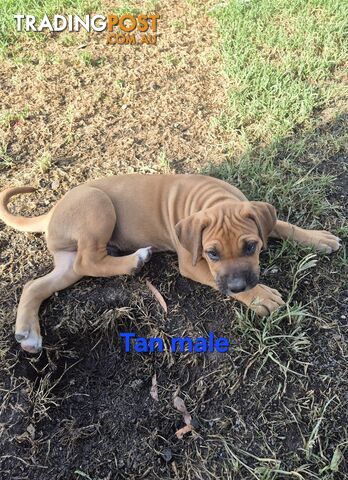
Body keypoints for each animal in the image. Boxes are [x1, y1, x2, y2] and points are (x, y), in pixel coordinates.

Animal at [0, 175, 340, 352]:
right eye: (212, 254)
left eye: (251, 246)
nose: (238, 285)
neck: (214, 200)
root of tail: (54, 209)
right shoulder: (192, 264)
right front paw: (260, 296)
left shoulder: (259, 220)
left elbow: (283, 225)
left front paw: (317, 239)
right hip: (98, 206)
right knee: (89, 260)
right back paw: (135, 260)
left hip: (66, 264)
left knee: (36, 285)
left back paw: (28, 333)